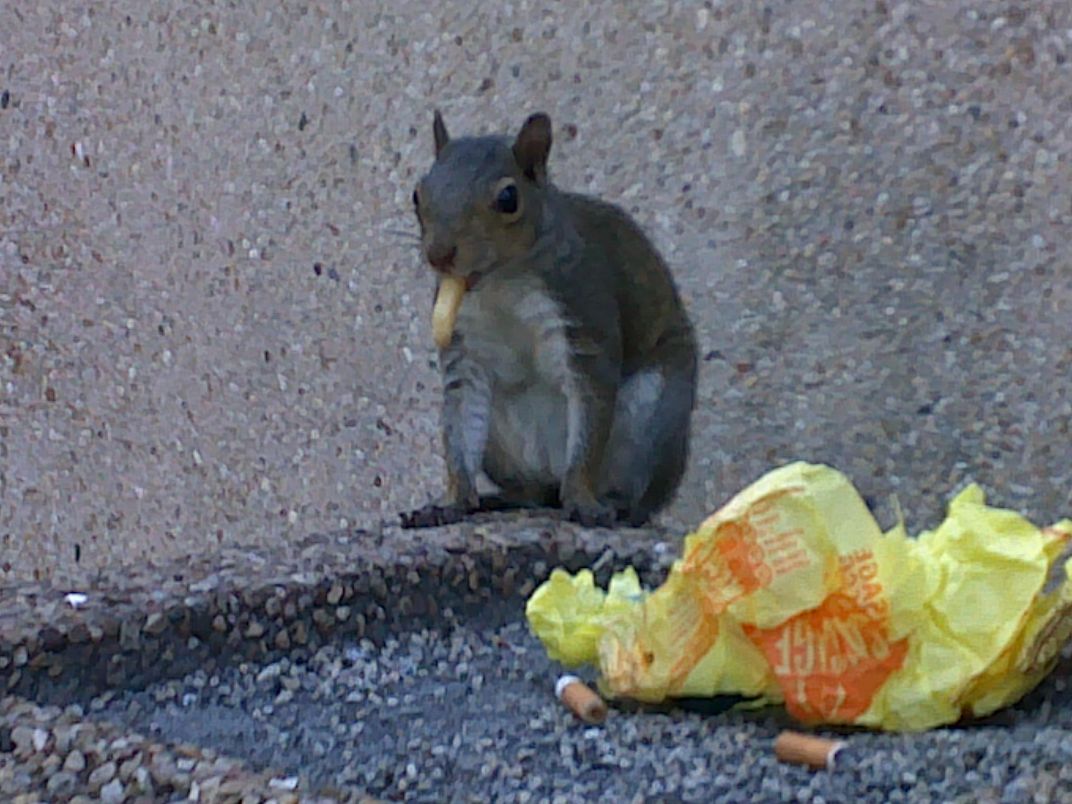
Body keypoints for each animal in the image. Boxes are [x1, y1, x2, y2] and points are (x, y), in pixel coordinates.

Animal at [400, 111, 698, 529]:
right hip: (500, 448)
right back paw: (504, 499)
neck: (502, 280)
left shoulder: (584, 316)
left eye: (508, 198)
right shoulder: (464, 350)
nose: (438, 255)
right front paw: (451, 501)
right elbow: (459, 426)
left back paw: (613, 504)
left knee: (633, 490)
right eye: (417, 194)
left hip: (652, 415)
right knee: (533, 491)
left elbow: (589, 422)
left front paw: (583, 500)